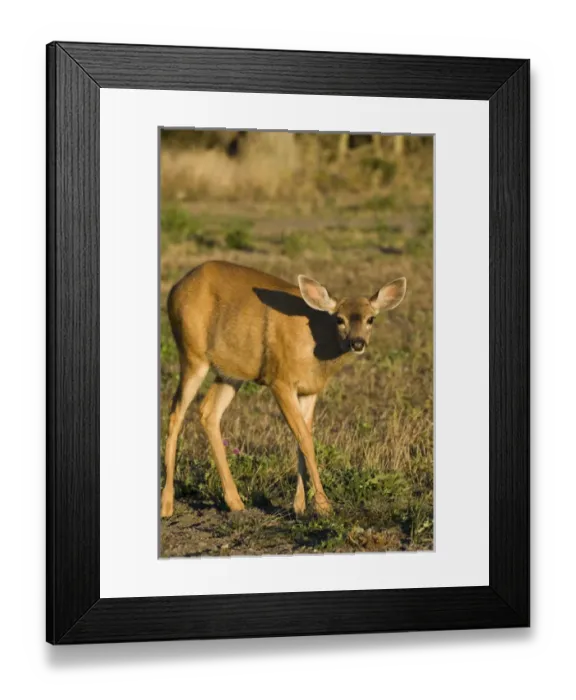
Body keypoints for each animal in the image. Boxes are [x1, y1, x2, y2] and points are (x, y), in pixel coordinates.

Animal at [161, 260, 407, 518]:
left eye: (371, 319)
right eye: (340, 319)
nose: (357, 343)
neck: (316, 346)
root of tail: (176, 288)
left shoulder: (310, 390)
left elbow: (303, 438)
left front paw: (299, 506)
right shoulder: (280, 380)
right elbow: (305, 439)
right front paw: (323, 506)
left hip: (230, 371)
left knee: (208, 412)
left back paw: (236, 502)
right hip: (192, 354)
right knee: (176, 411)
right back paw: (167, 505)